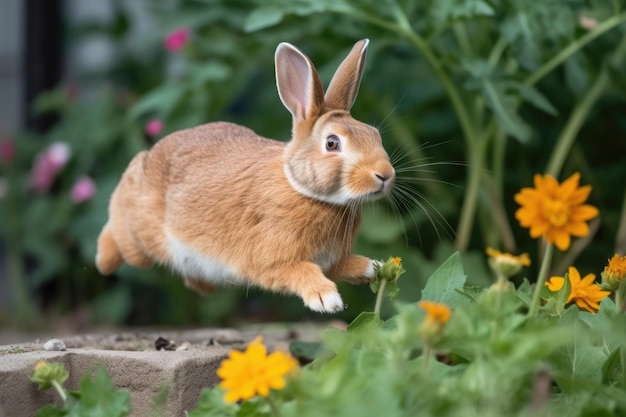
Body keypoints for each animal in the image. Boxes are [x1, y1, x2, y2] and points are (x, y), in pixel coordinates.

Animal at [94, 39, 392, 312]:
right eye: (332, 143)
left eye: (374, 135)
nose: (385, 175)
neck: (305, 191)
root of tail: (149, 156)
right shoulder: (270, 261)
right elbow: (300, 271)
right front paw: (327, 299)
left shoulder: (331, 261)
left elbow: (343, 267)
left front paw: (373, 268)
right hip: (141, 234)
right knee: (120, 228)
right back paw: (102, 260)